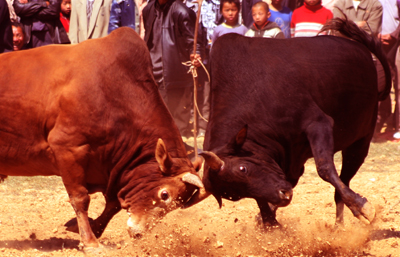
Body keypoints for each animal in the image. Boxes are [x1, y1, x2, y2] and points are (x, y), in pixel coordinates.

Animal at [186, 18, 392, 226]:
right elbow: (264, 197)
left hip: (361, 140)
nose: (283, 196)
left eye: (243, 169)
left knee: (344, 179)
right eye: (234, 195)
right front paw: (268, 221)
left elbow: (324, 168)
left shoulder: (318, 123)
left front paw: (363, 207)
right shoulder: (286, 157)